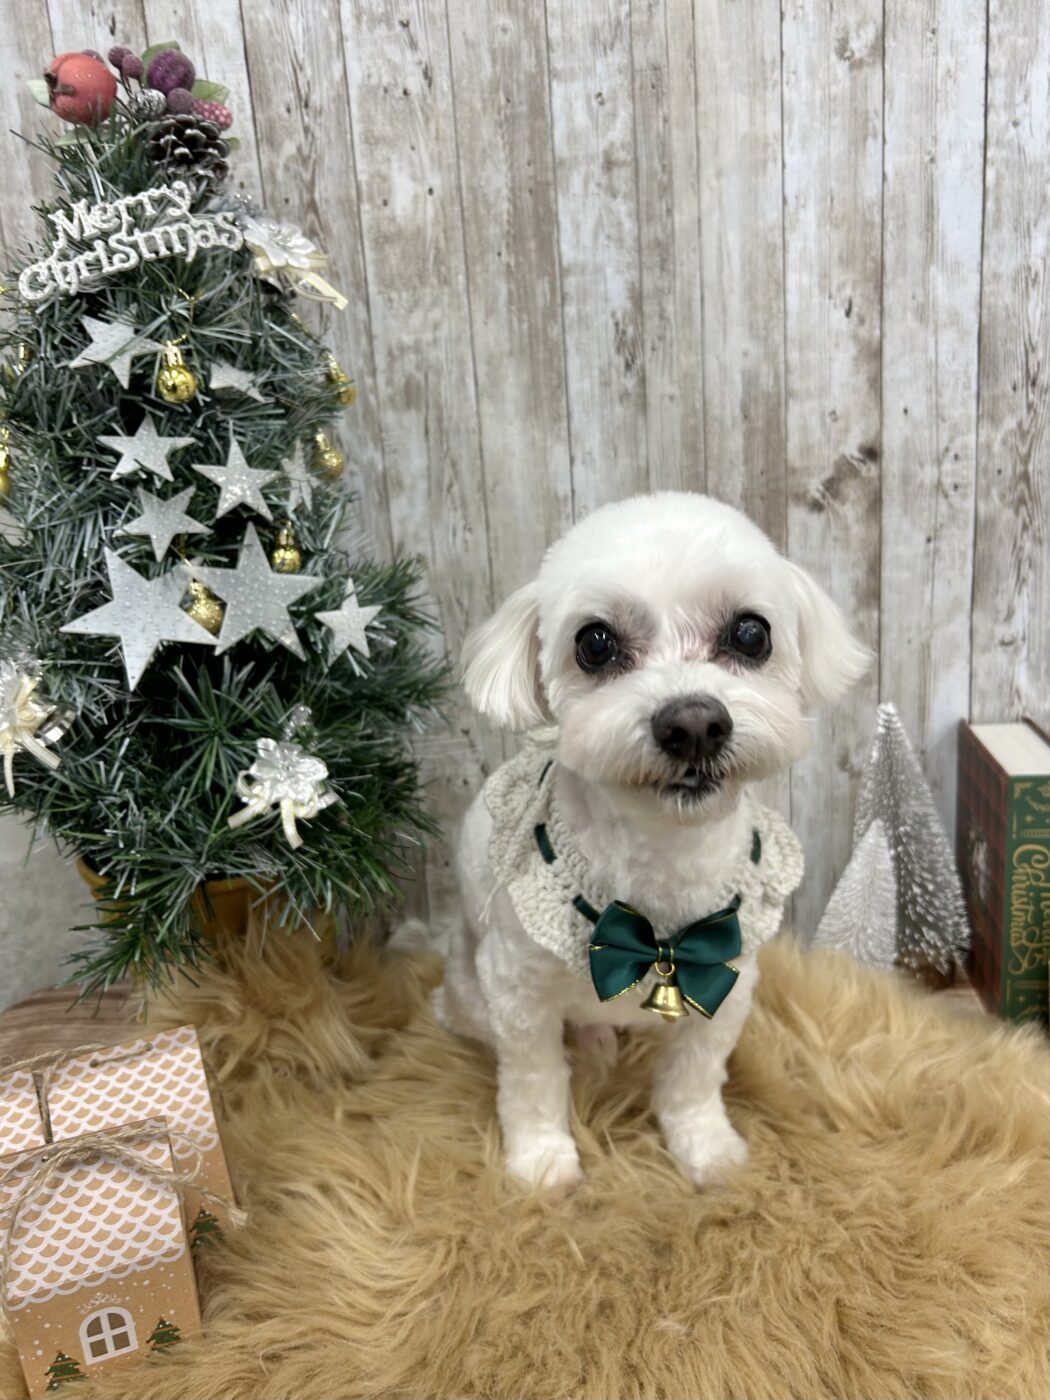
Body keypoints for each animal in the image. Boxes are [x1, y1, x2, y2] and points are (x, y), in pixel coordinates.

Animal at [435, 492, 868, 1192]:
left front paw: (707, 1149)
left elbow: (693, 1078)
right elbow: (533, 1081)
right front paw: (542, 1162)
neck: (664, 870)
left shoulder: (729, 982)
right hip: (471, 990)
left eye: (751, 633)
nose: (693, 724)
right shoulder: (519, 993)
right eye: (595, 643)